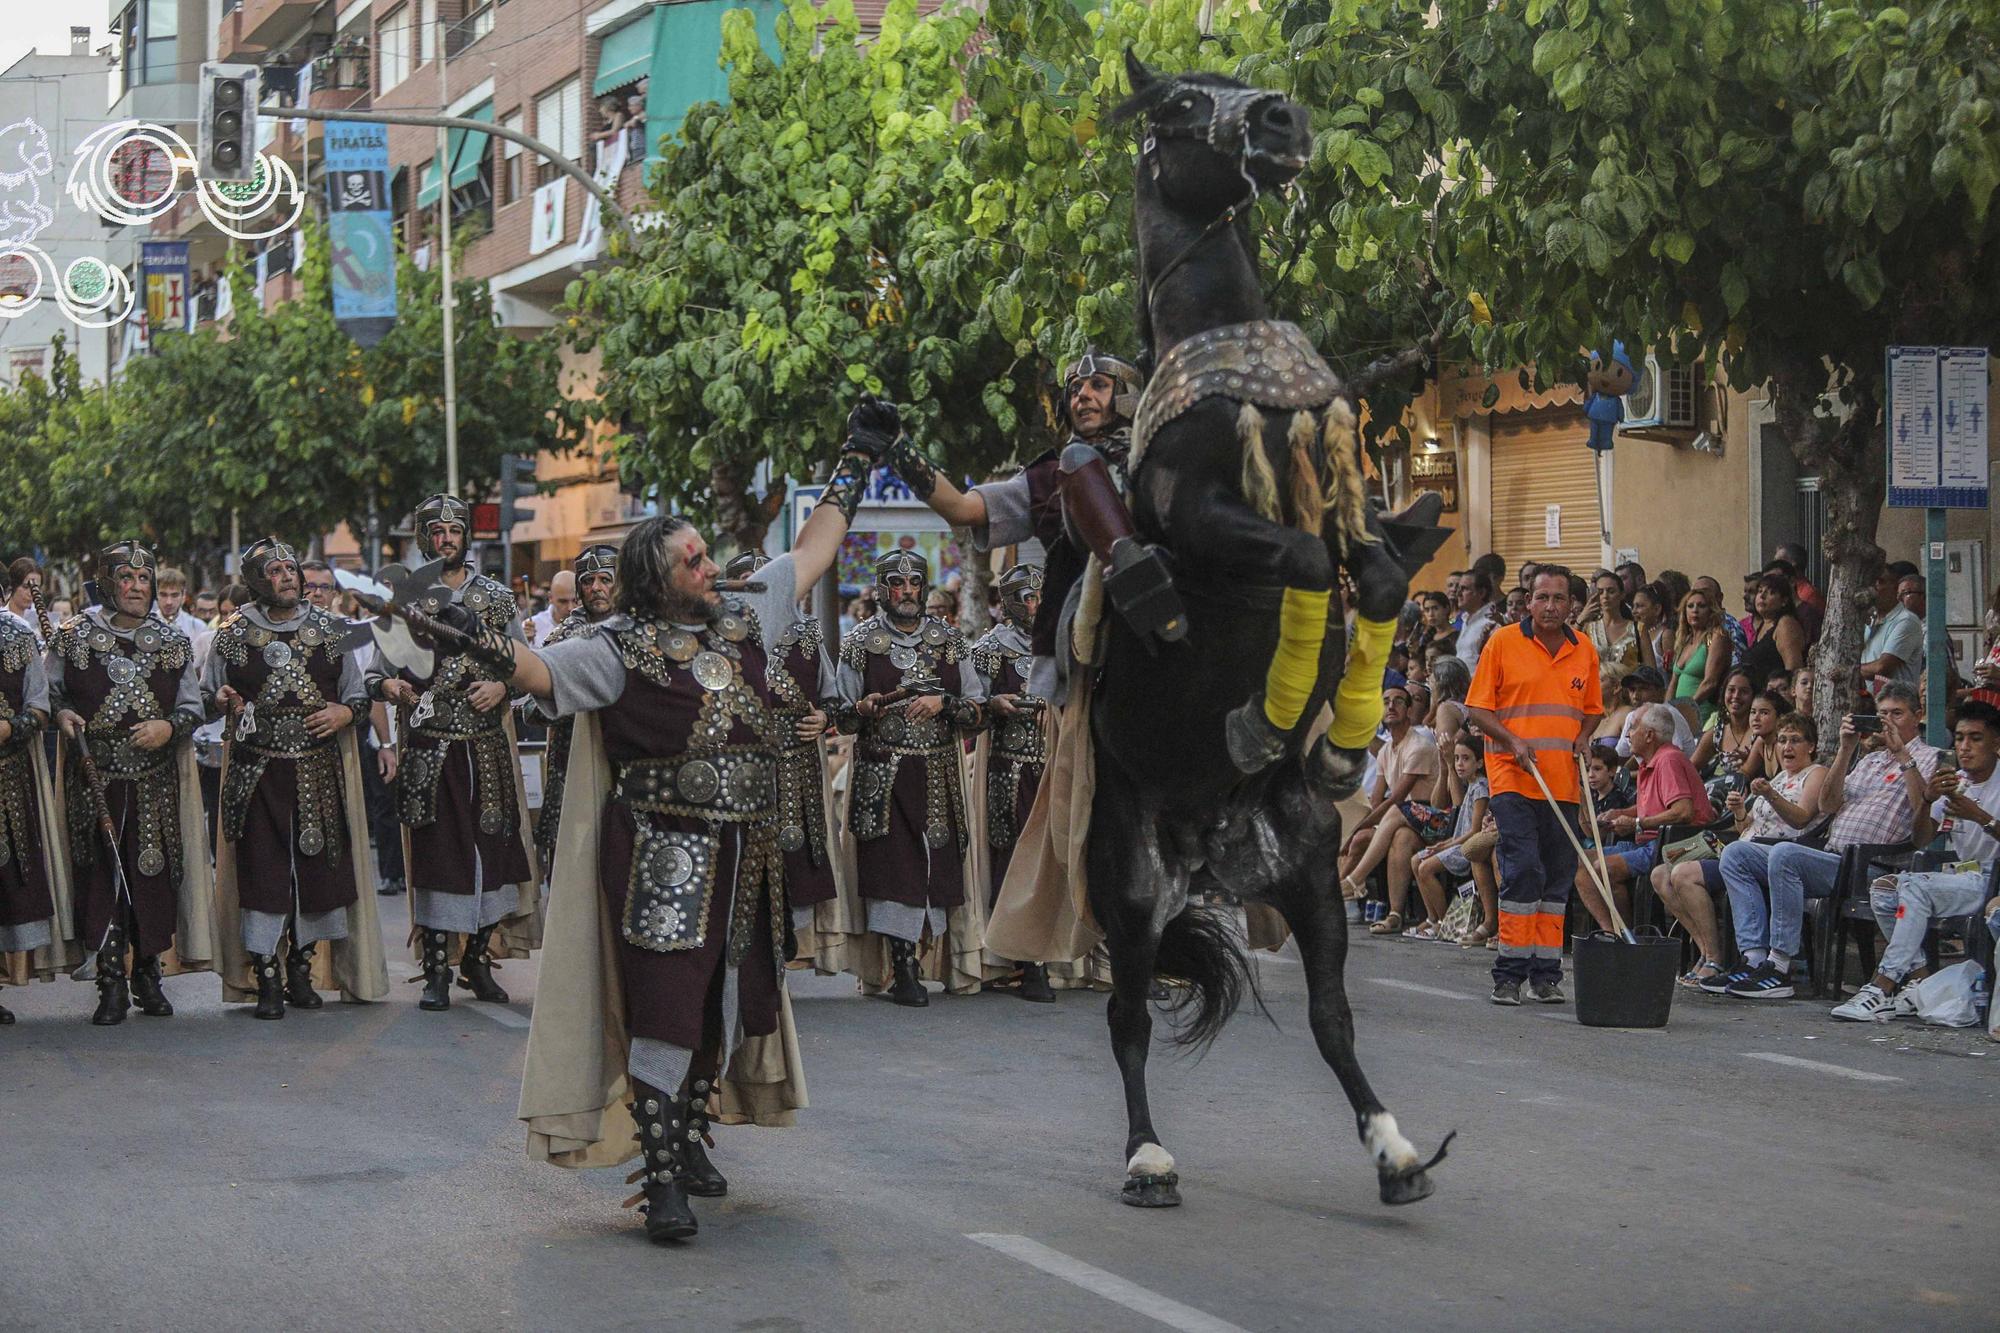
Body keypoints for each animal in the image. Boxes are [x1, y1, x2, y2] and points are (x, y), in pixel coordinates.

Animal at [1088, 54, 1448, 1200]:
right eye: (1175, 106)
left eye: (1240, 80)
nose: (1283, 122)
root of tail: (1209, 856)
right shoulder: (1205, 519)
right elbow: (1297, 566)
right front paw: (1270, 719)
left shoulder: (1350, 509)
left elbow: (1375, 578)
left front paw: (1336, 737)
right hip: (1128, 887)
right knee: (1123, 1017)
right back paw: (1146, 1156)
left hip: (1316, 878)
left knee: (1333, 1018)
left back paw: (1395, 1148)